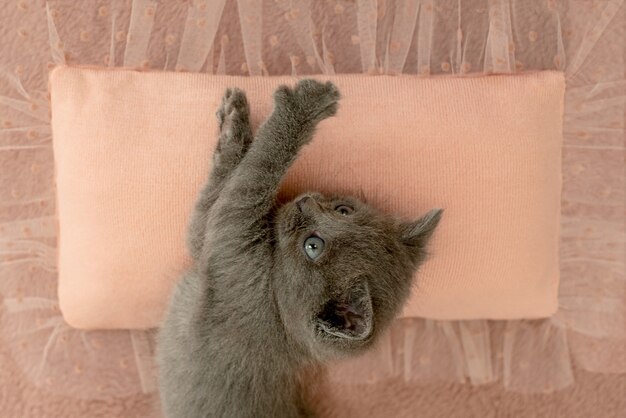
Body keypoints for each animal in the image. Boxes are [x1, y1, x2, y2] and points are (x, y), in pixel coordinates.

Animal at [155, 80, 438, 416]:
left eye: (313, 246)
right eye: (343, 210)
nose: (306, 203)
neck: (281, 313)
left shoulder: (234, 256)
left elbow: (250, 176)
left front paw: (301, 106)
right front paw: (233, 123)